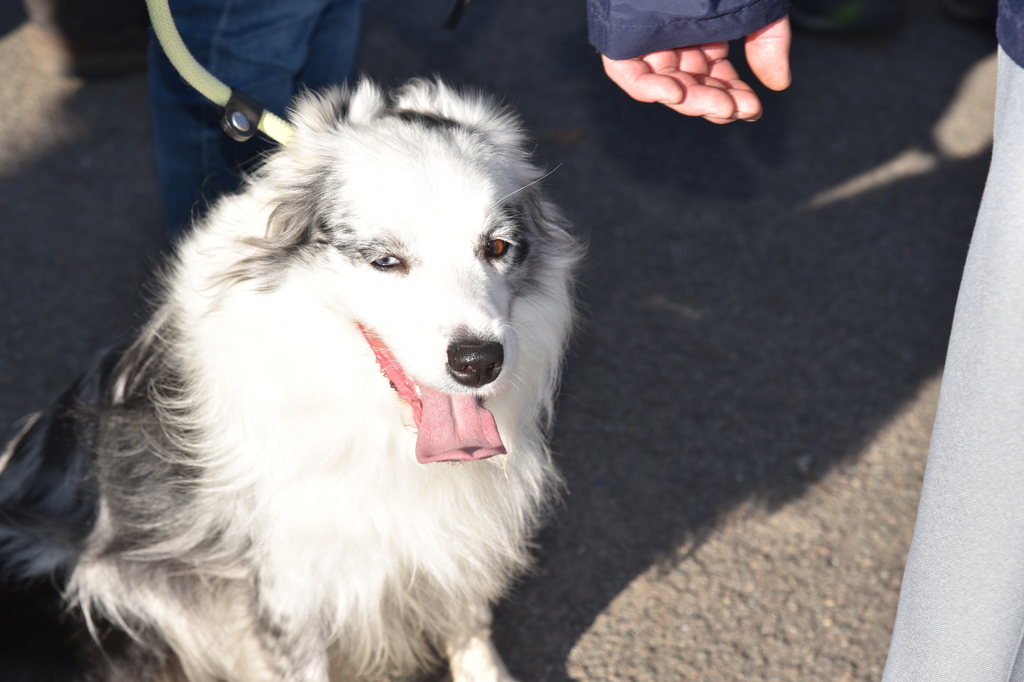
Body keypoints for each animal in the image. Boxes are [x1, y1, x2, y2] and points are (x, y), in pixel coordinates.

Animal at [0, 79, 581, 679]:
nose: (478, 362)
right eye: (386, 260)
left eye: (496, 247)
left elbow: (471, 629)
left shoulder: (460, 540)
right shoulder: (288, 588)